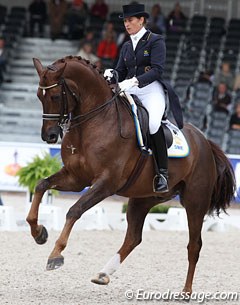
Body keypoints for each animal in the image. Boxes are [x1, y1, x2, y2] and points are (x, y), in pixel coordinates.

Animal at [27, 56, 235, 292]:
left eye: (54, 96)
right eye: (39, 96)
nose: (50, 136)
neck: (94, 122)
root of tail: (205, 142)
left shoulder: (106, 183)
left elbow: (74, 210)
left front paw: (55, 255)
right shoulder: (75, 178)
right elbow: (41, 185)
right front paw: (39, 233)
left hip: (195, 202)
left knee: (194, 245)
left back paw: (186, 291)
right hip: (143, 199)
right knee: (134, 237)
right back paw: (103, 274)